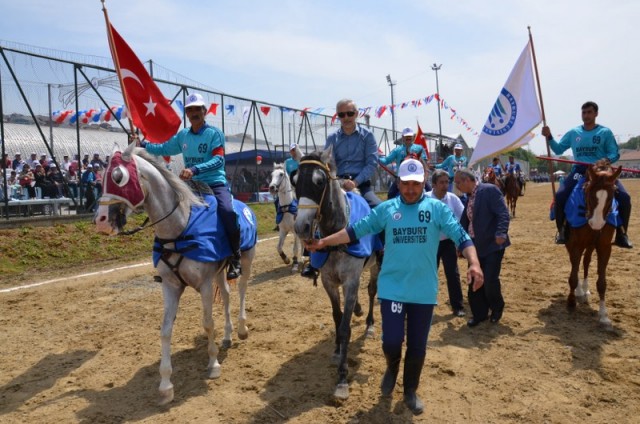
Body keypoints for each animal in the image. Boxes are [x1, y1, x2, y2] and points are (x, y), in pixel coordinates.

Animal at [93, 144, 258, 406]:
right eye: (101, 178)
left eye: (118, 177)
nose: (100, 221)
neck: (180, 227)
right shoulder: (170, 286)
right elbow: (165, 330)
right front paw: (165, 385)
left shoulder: (205, 285)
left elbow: (207, 323)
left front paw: (213, 364)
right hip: (221, 272)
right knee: (228, 295)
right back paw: (228, 336)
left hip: (247, 259)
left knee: (242, 289)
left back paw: (242, 329)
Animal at [568, 159, 624, 328]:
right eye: (588, 191)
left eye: (613, 194)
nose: (597, 223)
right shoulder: (576, 244)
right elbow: (573, 275)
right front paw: (571, 302)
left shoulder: (604, 247)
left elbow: (602, 282)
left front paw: (604, 316)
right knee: (576, 264)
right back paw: (579, 292)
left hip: (591, 245)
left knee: (586, 262)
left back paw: (585, 290)